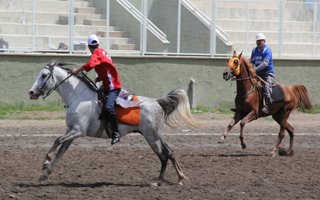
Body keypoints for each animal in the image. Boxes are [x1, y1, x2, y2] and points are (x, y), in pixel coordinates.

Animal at [28, 60, 198, 185]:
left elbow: (56, 141)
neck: (79, 97)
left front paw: (45, 161)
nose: (31, 92)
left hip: (152, 137)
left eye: (43, 75)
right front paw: (45, 174)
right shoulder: (71, 132)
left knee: (163, 156)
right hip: (157, 136)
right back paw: (179, 177)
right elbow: (60, 152)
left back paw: (159, 181)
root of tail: (157, 102)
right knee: (170, 152)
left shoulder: (78, 131)